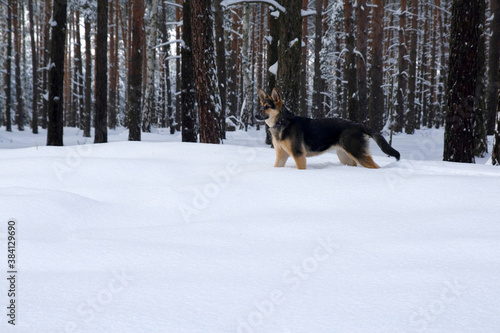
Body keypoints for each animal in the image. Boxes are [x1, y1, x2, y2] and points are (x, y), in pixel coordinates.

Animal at [256, 88, 400, 169]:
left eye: (267, 107)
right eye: (261, 106)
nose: (256, 115)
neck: (281, 122)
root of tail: (357, 124)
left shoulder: (298, 155)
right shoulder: (281, 155)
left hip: (357, 153)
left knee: (375, 167)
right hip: (345, 157)